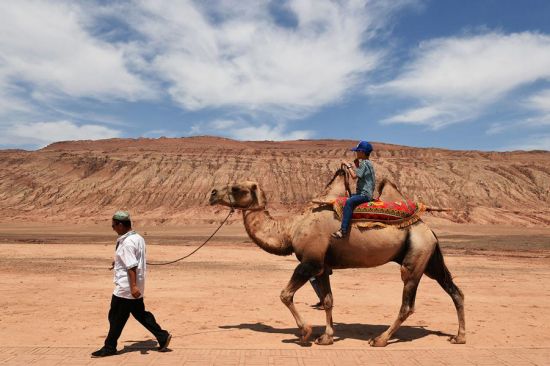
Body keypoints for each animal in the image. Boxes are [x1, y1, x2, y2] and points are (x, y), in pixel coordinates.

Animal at [209, 168, 468, 346]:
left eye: (237, 188)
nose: (212, 193)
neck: (290, 229)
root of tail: (428, 229)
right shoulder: (322, 267)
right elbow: (328, 301)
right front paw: (326, 337)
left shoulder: (310, 262)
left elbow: (285, 295)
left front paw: (305, 332)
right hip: (430, 257)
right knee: (454, 290)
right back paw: (459, 337)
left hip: (415, 257)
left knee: (407, 303)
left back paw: (380, 339)